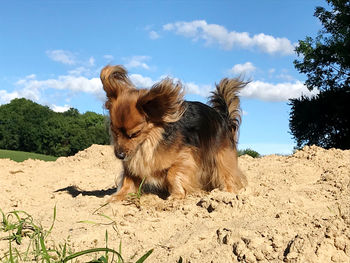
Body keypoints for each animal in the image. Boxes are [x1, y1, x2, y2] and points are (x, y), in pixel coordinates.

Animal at [100, 66, 249, 202]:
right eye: (114, 131)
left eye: (135, 134)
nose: (119, 155)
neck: (149, 142)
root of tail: (222, 116)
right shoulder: (132, 164)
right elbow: (128, 180)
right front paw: (117, 196)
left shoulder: (185, 157)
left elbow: (172, 174)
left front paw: (176, 195)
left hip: (220, 156)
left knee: (227, 173)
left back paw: (227, 194)